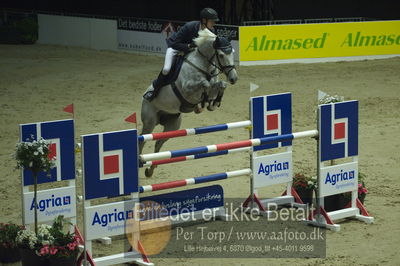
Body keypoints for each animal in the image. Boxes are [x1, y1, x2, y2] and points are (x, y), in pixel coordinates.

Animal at [140, 28, 238, 178]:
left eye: (232, 52)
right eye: (221, 55)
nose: (234, 78)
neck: (204, 65)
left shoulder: (214, 85)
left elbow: (221, 85)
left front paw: (212, 103)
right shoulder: (187, 89)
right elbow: (204, 84)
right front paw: (202, 104)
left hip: (172, 126)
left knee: (158, 143)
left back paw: (150, 170)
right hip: (149, 122)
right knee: (142, 141)